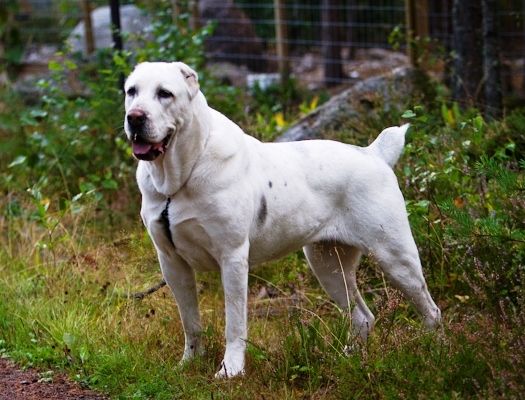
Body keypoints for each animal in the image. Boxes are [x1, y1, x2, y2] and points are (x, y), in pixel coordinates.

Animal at [125, 61, 440, 376]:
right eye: (131, 92)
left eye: (165, 93)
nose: (134, 117)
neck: (179, 179)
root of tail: (373, 154)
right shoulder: (172, 262)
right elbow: (190, 321)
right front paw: (189, 363)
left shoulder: (232, 258)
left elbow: (234, 323)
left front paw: (231, 371)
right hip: (328, 265)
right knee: (362, 316)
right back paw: (348, 360)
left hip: (395, 257)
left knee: (430, 310)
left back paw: (433, 352)